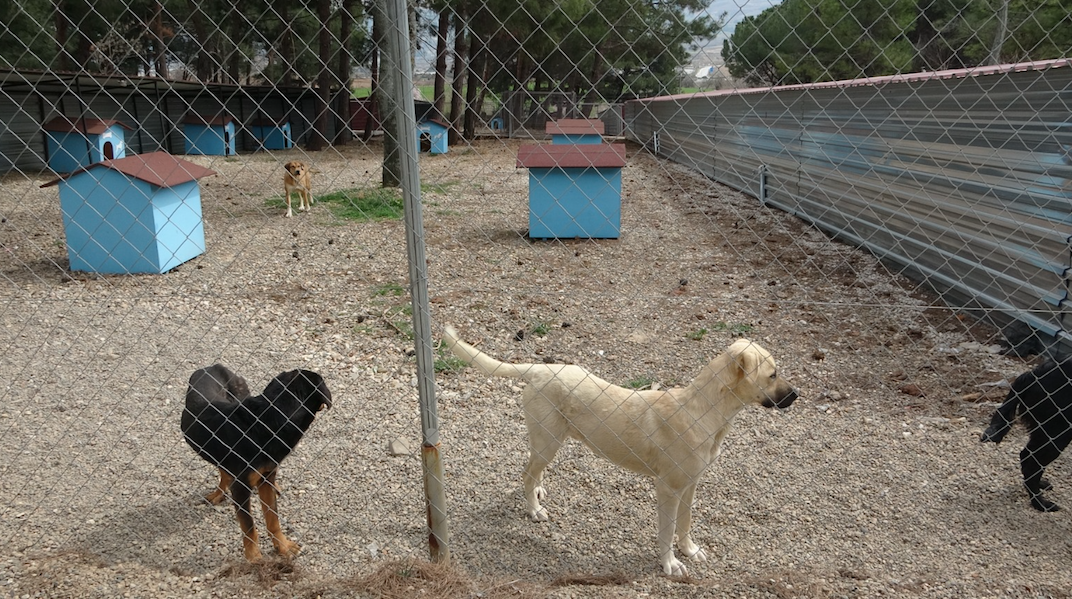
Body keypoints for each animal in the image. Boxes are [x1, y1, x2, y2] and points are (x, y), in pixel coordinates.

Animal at [180, 366, 332, 561]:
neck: (266, 422)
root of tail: (211, 367)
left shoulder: (266, 478)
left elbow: (273, 518)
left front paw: (283, 547)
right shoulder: (241, 487)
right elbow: (249, 527)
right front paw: (254, 559)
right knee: (224, 472)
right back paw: (218, 493)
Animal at [441, 327, 797, 578]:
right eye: (773, 374)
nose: (797, 395)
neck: (703, 411)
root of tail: (540, 370)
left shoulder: (690, 485)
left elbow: (685, 523)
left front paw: (689, 550)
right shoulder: (668, 489)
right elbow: (667, 530)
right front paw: (670, 564)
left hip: (548, 442)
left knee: (533, 471)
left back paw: (539, 492)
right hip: (548, 441)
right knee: (526, 473)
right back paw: (533, 509)